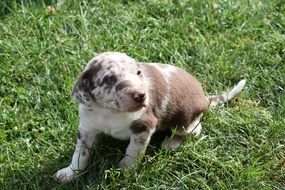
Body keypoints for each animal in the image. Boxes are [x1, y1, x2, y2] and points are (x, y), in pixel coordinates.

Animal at [54, 51, 245, 182]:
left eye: (138, 73)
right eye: (109, 78)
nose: (141, 95)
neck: (110, 112)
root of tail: (205, 98)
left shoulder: (143, 127)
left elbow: (133, 151)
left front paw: (126, 169)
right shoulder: (86, 129)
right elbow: (80, 154)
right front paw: (70, 172)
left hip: (184, 122)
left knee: (195, 129)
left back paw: (171, 142)